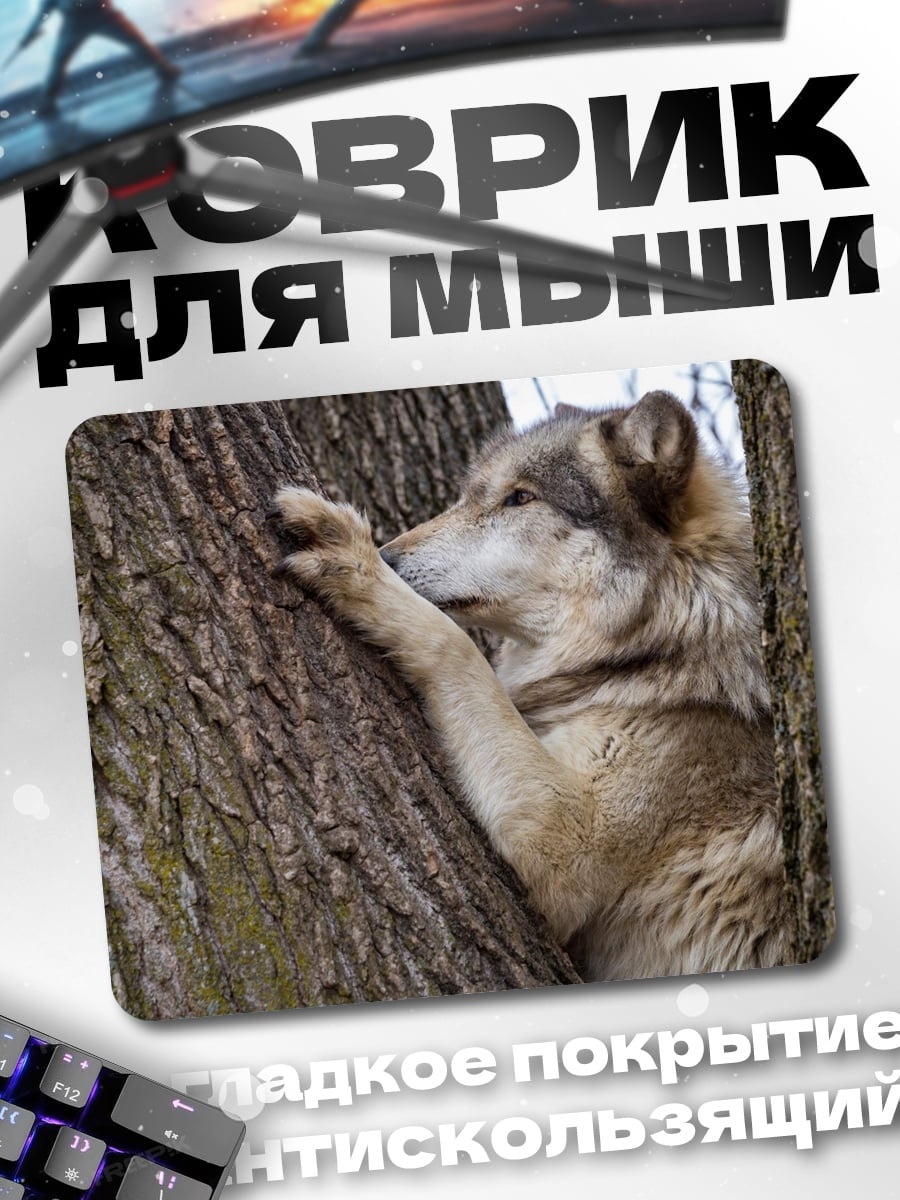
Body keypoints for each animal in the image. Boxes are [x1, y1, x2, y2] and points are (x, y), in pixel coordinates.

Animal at [273, 390, 793, 982]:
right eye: (467, 496)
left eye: (519, 498)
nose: (388, 556)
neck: (661, 646)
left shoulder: (564, 838)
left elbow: (457, 645)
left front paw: (357, 564)